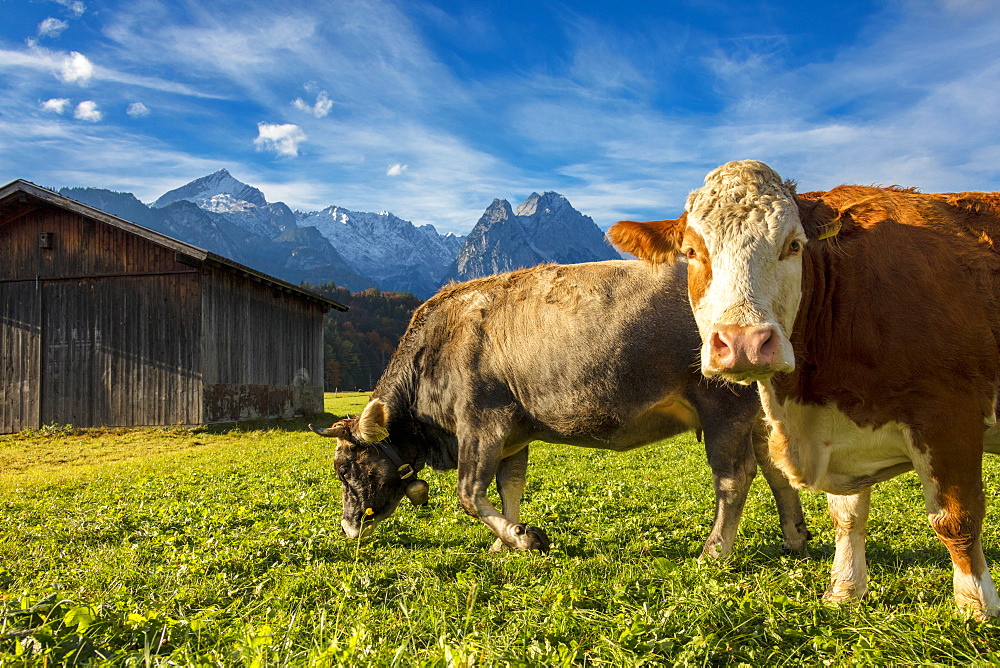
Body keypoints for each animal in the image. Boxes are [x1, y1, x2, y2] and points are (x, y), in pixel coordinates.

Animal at [308, 260, 808, 560]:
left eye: (347, 469)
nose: (347, 526)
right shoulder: (513, 434)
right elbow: (509, 487)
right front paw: (506, 539)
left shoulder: (481, 421)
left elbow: (470, 493)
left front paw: (523, 538)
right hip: (757, 413)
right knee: (776, 470)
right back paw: (796, 537)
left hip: (723, 402)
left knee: (735, 477)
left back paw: (715, 550)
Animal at [604, 160, 1000, 616]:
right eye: (691, 252)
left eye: (794, 245)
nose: (743, 343)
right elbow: (847, 515)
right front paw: (845, 590)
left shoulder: (950, 414)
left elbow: (956, 518)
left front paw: (977, 607)